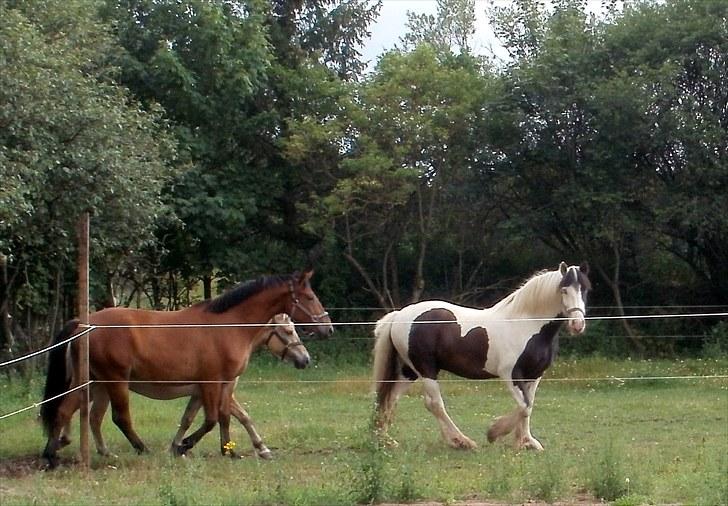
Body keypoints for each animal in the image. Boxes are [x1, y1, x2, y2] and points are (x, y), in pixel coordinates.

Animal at [41, 268, 332, 466]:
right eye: (308, 296)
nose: (327, 329)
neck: (229, 326)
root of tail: (82, 323)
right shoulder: (210, 384)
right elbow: (211, 419)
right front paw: (183, 447)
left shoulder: (221, 385)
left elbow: (223, 417)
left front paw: (229, 450)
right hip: (115, 381)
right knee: (118, 418)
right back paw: (140, 449)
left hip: (91, 380)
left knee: (68, 410)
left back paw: (53, 453)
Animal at [372, 262, 588, 448]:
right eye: (564, 290)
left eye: (584, 289)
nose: (577, 325)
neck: (527, 324)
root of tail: (399, 315)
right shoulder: (510, 374)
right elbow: (524, 406)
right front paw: (494, 432)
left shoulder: (534, 375)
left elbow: (529, 406)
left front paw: (526, 442)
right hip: (426, 369)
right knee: (434, 404)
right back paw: (462, 441)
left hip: (409, 371)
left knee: (391, 399)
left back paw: (386, 441)